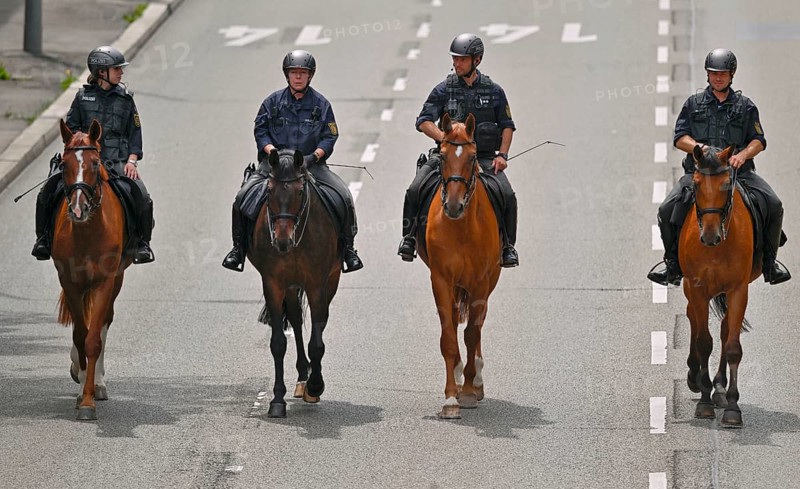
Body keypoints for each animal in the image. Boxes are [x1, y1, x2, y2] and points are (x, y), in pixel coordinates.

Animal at [51, 119, 132, 421]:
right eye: (64, 164)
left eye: (95, 163)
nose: (78, 209)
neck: (87, 232)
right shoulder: (69, 281)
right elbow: (80, 334)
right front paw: (80, 387)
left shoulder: (104, 282)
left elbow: (94, 338)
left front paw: (88, 399)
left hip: (117, 280)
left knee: (104, 322)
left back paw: (97, 383)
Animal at [247, 149, 342, 418]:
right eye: (269, 191)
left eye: (300, 192)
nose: (282, 241)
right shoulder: (273, 284)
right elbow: (279, 343)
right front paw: (277, 401)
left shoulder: (318, 284)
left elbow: (317, 343)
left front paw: (315, 387)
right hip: (290, 287)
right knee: (297, 320)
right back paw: (301, 376)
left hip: (331, 280)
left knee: (319, 320)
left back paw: (308, 382)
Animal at [415, 113, 503, 419]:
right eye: (442, 156)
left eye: (473, 156)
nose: (453, 206)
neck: (461, 227)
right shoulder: (441, 280)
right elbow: (449, 338)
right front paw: (451, 398)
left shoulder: (480, 282)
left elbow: (471, 334)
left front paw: (467, 391)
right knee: (454, 321)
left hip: (488, 283)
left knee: (478, 323)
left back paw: (476, 380)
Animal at [679, 144, 761, 428]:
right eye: (696, 183)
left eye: (727, 184)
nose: (710, 236)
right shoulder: (697, 289)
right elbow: (704, 342)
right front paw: (704, 401)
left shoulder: (738, 290)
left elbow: (733, 346)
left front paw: (733, 406)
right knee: (692, 318)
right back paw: (696, 376)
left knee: (725, 330)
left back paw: (720, 388)